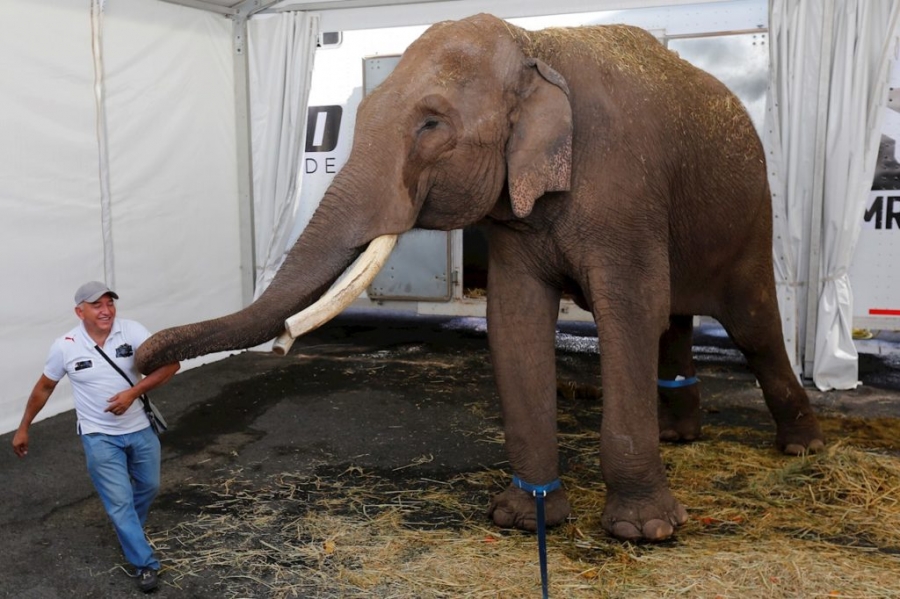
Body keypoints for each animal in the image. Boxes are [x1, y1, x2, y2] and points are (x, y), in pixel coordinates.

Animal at [139, 14, 824, 544]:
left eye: (431, 125)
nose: (141, 361)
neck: (536, 46)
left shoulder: (621, 190)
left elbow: (628, 314)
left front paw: (645, 532)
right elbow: (515, 320)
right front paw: (526, 518)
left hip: (751, 220)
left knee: (753, 326)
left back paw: (801, 448)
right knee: (674, 322)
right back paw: (681, 436)